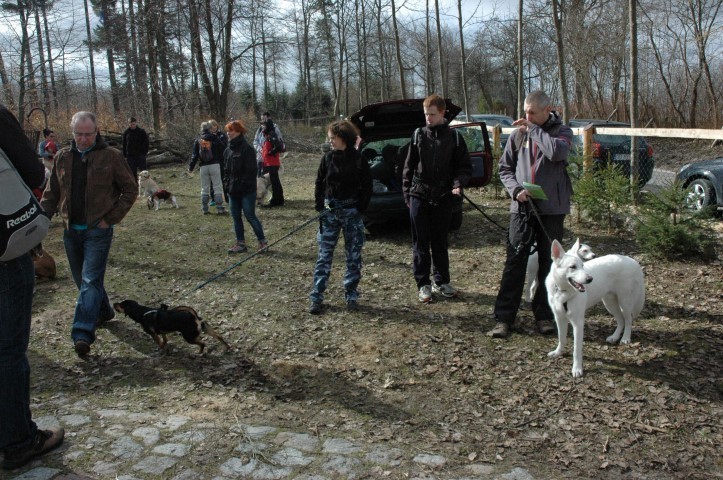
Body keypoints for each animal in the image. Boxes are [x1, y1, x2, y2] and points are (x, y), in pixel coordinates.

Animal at [544, 238, 648, 376]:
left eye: (583, 266)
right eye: (573, 267)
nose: (590, 279)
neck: (563, 292)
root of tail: (632, 261)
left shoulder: (578, 323)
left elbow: (576, 349)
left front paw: (577, 369)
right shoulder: (559, 318)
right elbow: (561, 339)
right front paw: (558, 353)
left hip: (624, 302)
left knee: (628, 319)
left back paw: (625, 338)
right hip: (609, 303)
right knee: (621, 320)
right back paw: (615, 337)